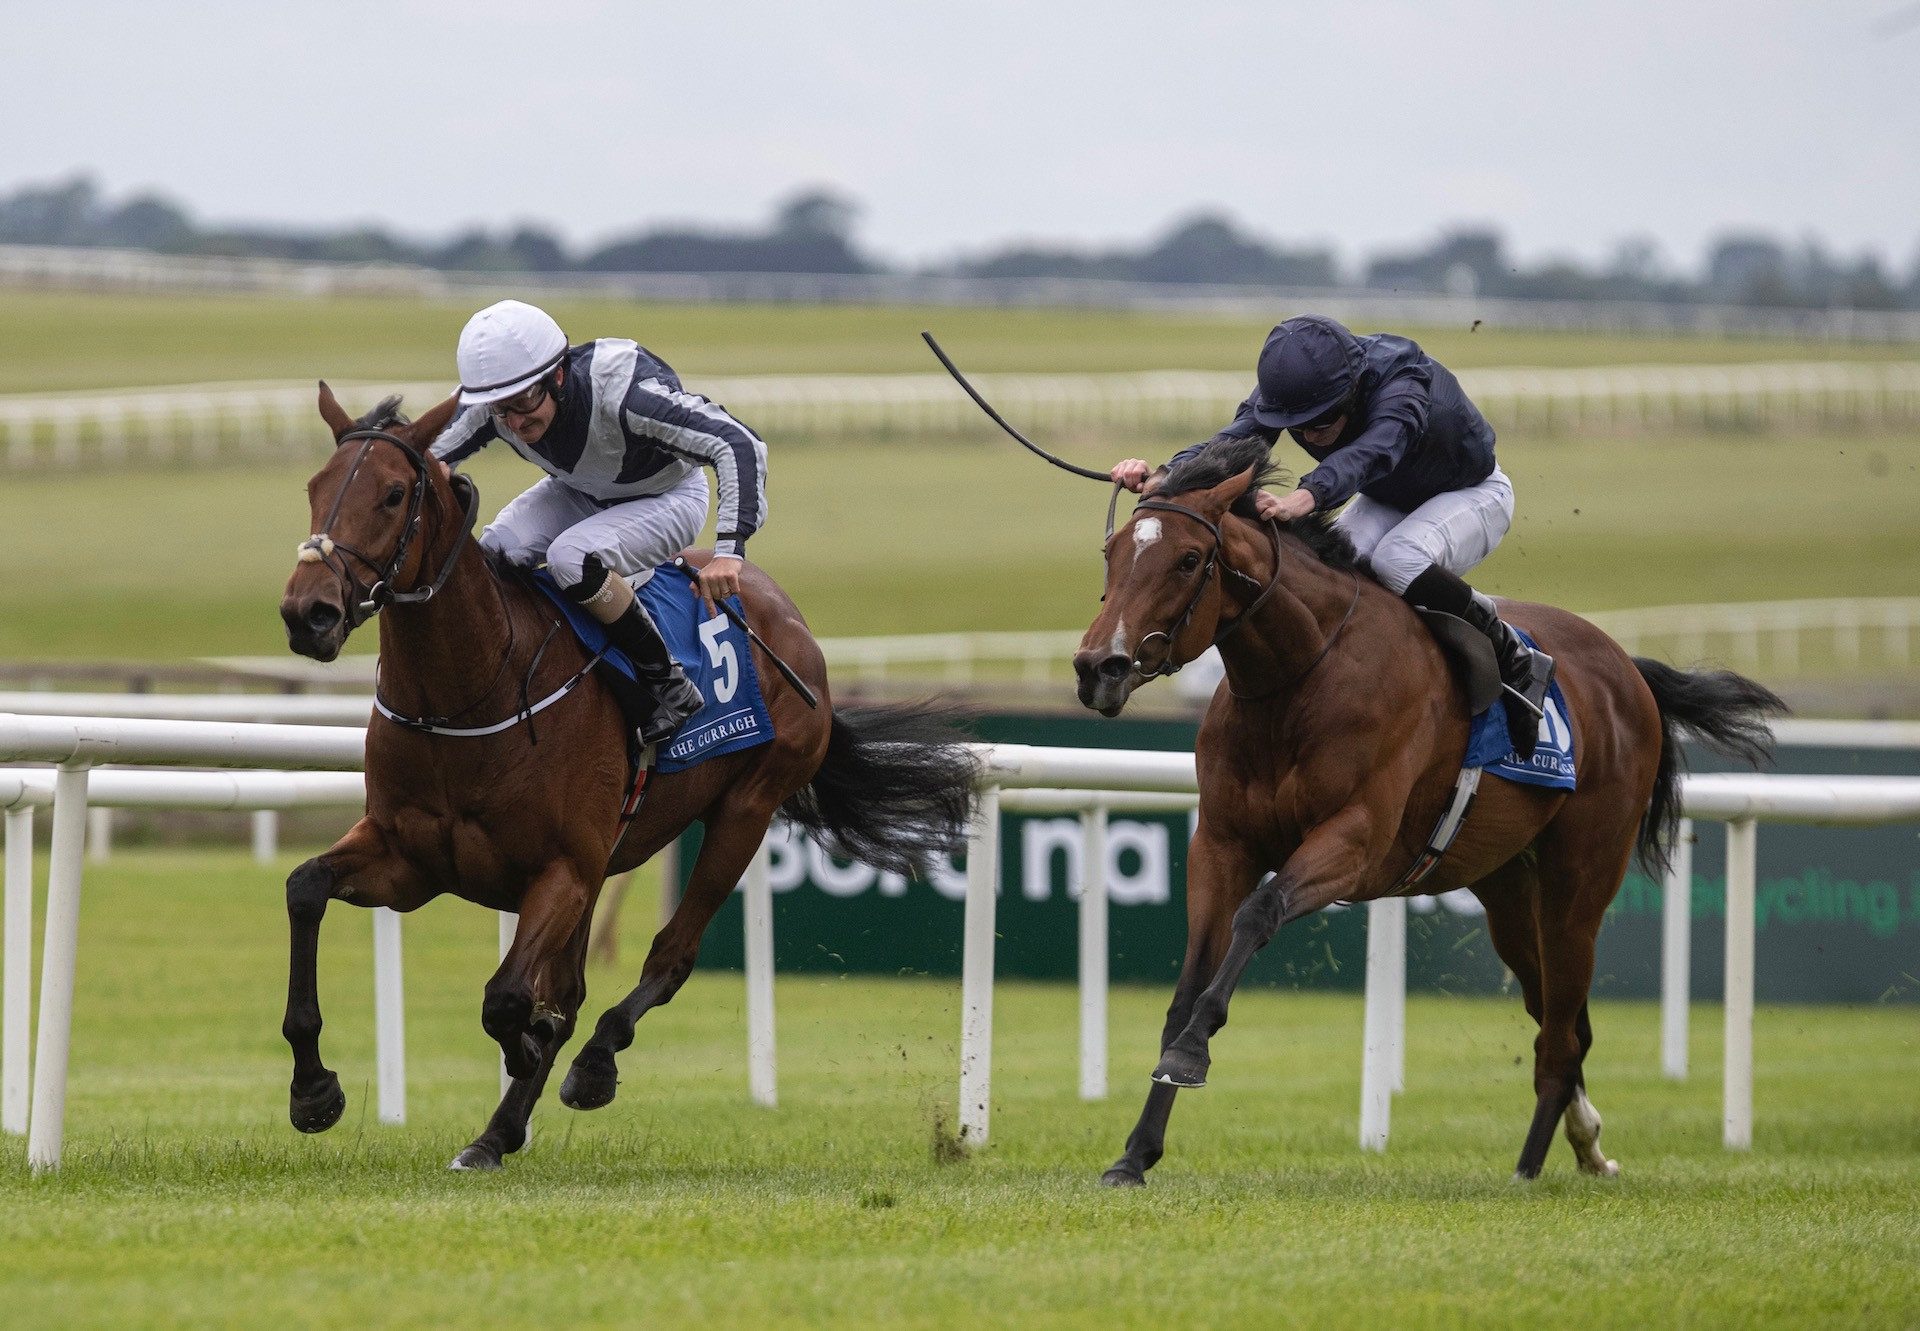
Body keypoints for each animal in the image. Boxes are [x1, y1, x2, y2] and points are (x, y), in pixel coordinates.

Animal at [278, 389, 983, 1167]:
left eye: (393, 494)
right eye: (314, 487)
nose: (308, 611)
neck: (470, 694)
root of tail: (784, 614)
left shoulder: (563, 869)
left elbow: (510, 999)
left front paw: (534, 1051)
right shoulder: (411, 861)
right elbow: (306, 887)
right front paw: (313, 1090)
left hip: (746, 809)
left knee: (668, 957)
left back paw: (591, 1066)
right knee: (572, 988)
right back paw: (495, 1133)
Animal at [1075, 437, 1774, 1183]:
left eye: (1186, 559)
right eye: (1112, 551)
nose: (1097, 668)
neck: (1303, 676)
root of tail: (1629, 672)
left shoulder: (1354, 842)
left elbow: (1259, 913)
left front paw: (1188, 1056)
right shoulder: (1222, 843)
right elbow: (1188, 985)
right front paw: (1135, 1152)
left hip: (1578, 883)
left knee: (1561, 1034)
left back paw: (1529, 1170)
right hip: (1507, 890)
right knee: (1561, 1020)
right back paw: (1586, 1142)